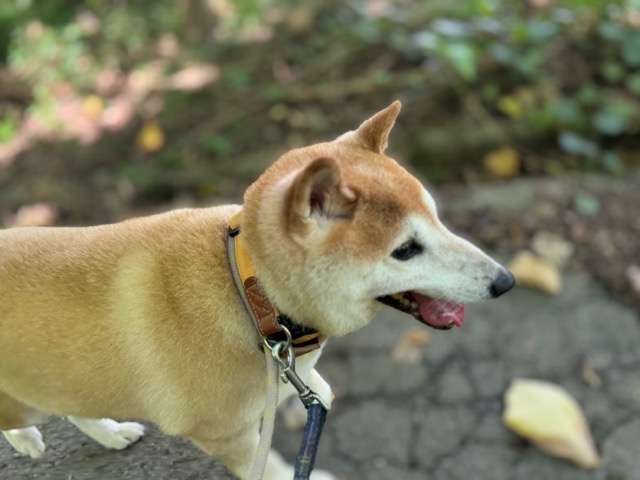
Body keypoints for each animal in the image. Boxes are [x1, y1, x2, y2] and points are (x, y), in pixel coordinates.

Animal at [0, 101, 514, 479]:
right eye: (406, 250)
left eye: (437, 216)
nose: (505, 281)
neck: (251, 296)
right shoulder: (227, 436)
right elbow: (272, 470)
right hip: (25, 395)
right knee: (22, 418)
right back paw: (28, 439)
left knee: (73, 405)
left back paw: (110, 432)